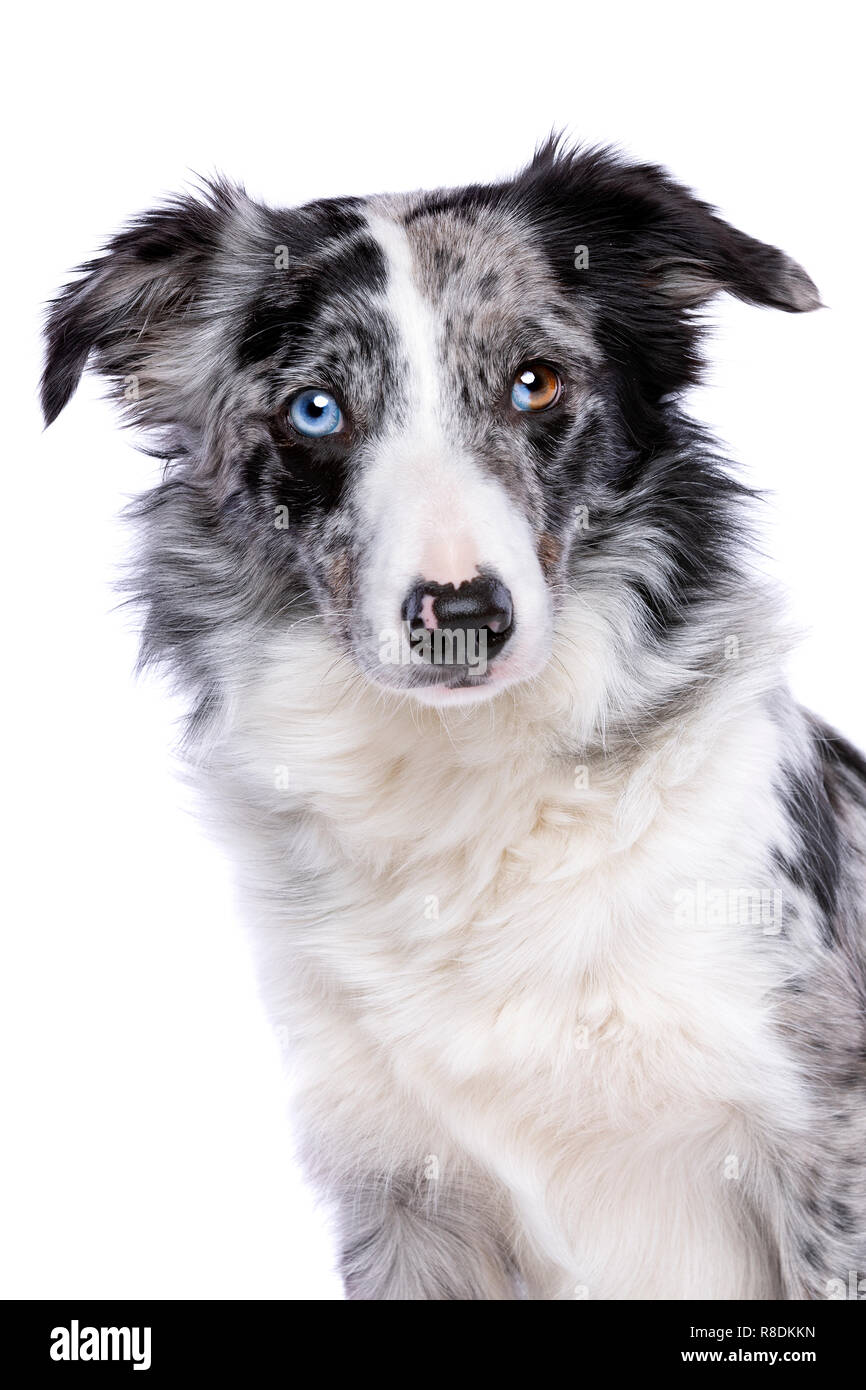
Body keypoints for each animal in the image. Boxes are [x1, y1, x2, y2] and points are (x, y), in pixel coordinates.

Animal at [44, 141, 866, 1301]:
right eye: (315, 410)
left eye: (536, 382)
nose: (465, 618)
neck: (473, 792)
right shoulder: (401, 1187)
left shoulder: (823, 1156)